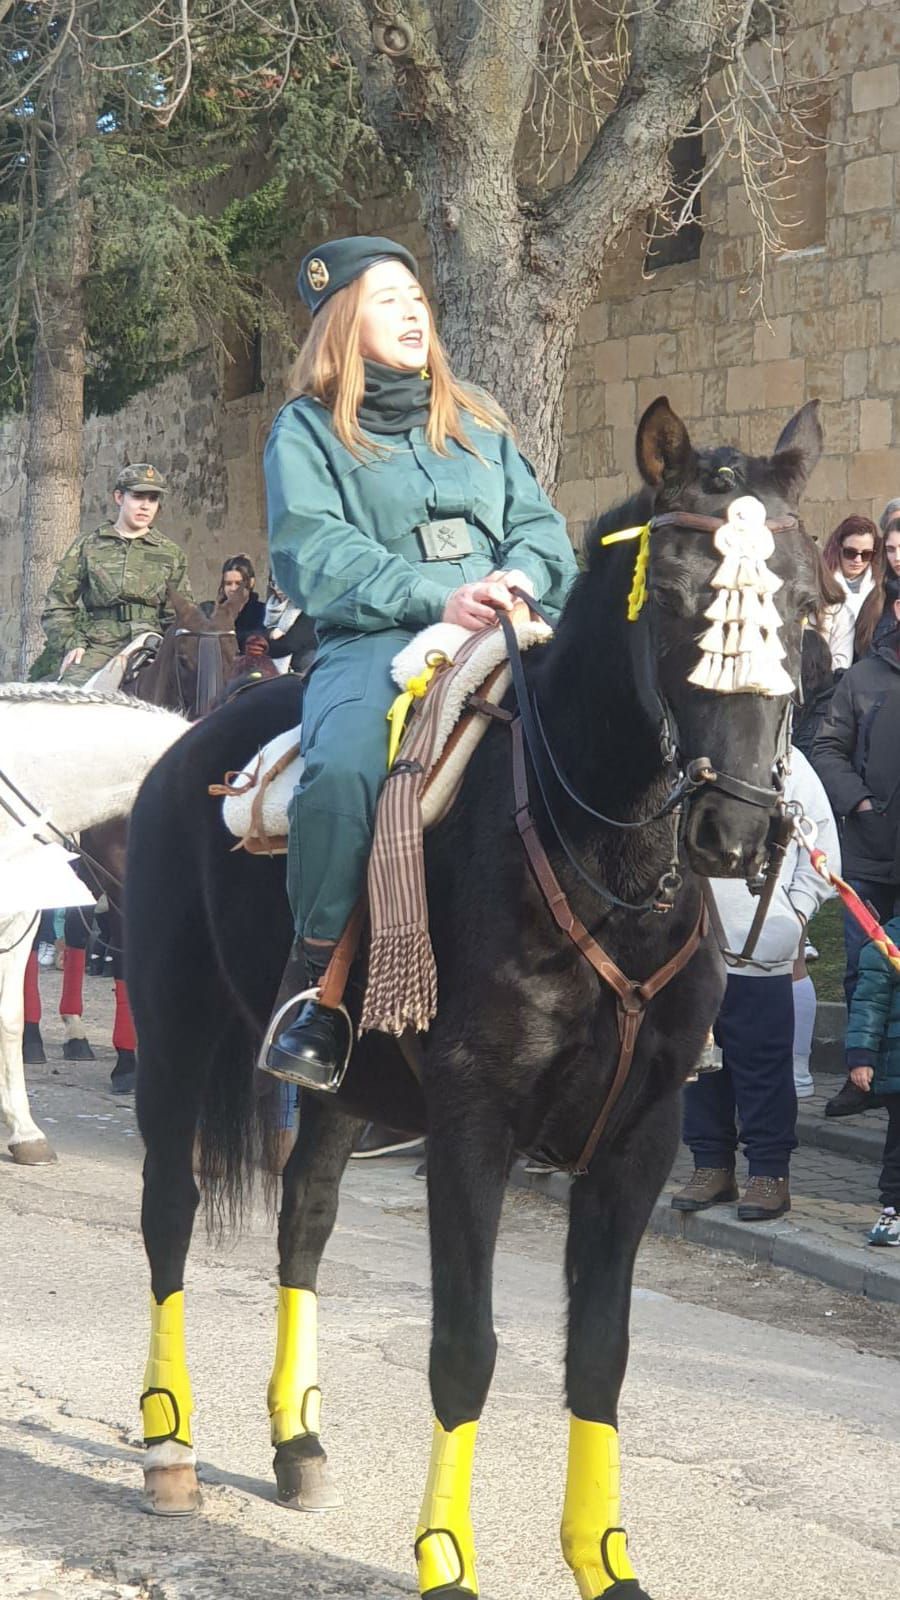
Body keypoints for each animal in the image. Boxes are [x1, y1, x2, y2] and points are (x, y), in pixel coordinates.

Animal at [124, 400, 819, 1600]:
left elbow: (601, 1356)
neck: (601, 864)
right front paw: (446, 1556)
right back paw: (171, 1443)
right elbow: (468, 1347)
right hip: (171, 1034)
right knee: (169, 1213)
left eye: (806, 598)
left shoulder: (641, 1140)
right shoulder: (471, 1124)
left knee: (303, 1222)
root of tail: (188, 750)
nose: (738, 831)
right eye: (683, 599)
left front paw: (605, 1560)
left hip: (342, 1088)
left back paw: (297, 1443)